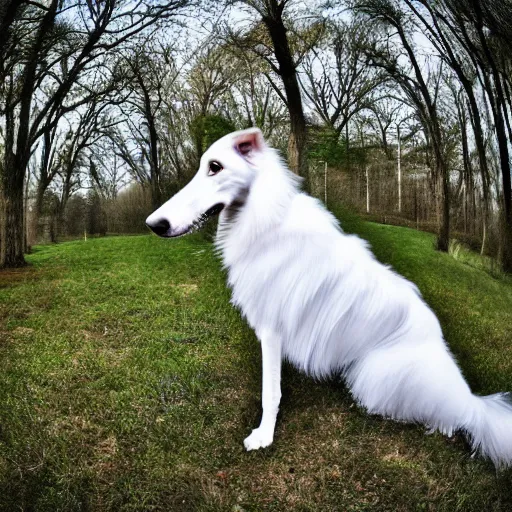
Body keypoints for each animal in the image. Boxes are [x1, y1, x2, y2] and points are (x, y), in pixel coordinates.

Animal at [145, 128, 512, 468]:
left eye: (215, 167)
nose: (152, 224)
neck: (267, 218)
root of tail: (466, 395)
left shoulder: (271, 331)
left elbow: (270, 392)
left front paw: (263, 436)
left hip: (377, 374)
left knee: (451, 417)